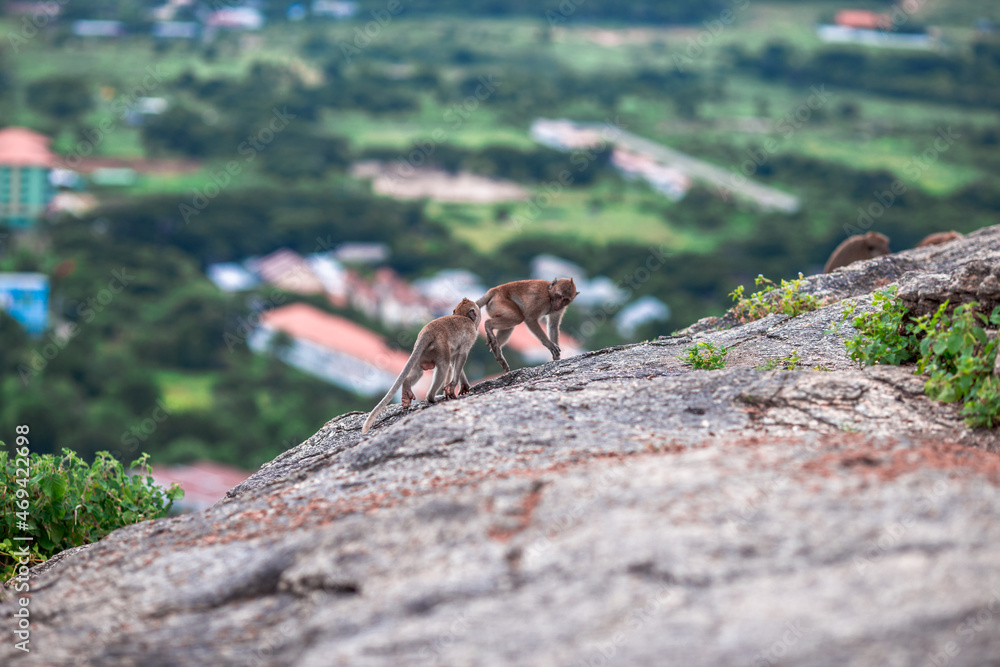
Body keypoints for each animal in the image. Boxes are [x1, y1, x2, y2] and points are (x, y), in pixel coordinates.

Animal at [361, 298, 480, 434]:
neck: (463, 316)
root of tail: (427, 331)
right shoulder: (470, 335)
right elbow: (461, 356)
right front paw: (454, 385)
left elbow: (455, 361)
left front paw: (463, 385)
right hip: (440, 346)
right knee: (443, 367)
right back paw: (431, 397)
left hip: (422, 353)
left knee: (419, 371)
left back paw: (406, 390)